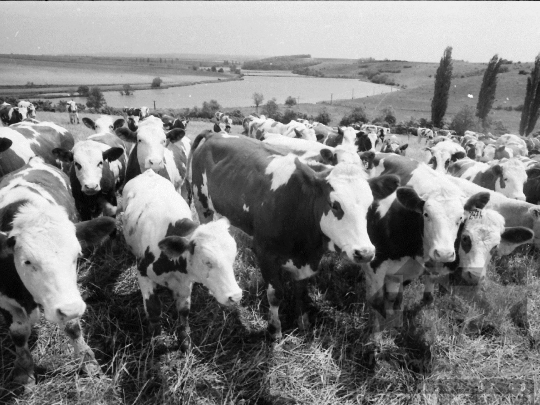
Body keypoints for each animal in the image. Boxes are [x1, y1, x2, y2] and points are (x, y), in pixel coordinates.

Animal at [0, 155, 116, 386]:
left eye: (77, 255)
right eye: (27, 261)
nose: (70, 308)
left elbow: (72, 326)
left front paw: (88, 362)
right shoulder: (4, 299)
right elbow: (18, 333)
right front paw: (23, 371)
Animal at [122, 168, 243, 350]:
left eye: (233, 258)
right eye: (207, 261)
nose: (235, 296)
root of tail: (148, 172)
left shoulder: (185, 283)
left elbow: (184, 312)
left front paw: (184, 341)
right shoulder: (142, 272)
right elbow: (153, 308)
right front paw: (156, 337)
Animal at [191, 130, 400, 338]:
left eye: (370, 206)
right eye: (335, 205)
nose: (365, 252)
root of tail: (215, 133)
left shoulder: (308, 260)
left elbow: (301, 291)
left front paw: (303, 321)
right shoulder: (265, 254)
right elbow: (275, 295)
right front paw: (275, 330)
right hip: (202, 207)